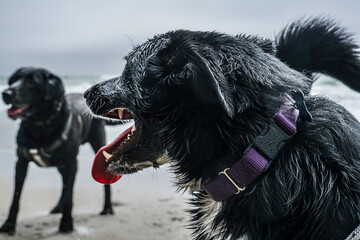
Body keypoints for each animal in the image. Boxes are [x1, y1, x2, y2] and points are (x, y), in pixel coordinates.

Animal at [0, 67, 115, 234]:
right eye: (14, 79)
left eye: (32, 82)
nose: (6, 93)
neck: (40, 125)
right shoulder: (21, 162)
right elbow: (16, 196)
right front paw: (9, 224)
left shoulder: (72, 163)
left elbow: (69, 195)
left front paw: (66, 223)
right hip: (60, 164)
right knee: (63, 181)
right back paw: (57, 207)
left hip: (97, 142)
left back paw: (107, 208)